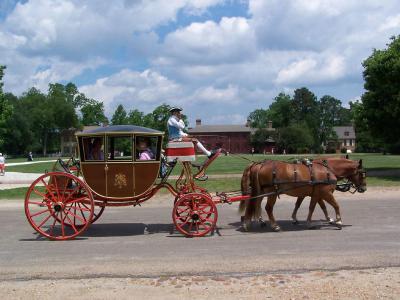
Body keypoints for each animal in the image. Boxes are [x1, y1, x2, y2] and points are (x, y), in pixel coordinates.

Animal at [239, 158, 368, 231]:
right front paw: (339, 221)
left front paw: (309, 222)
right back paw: (274, 225)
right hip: (272, 193)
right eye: (362, 174)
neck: (327, 170)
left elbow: (313, 207)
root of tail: (259, 165)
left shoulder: (315, 194)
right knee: (267, 208)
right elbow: (336, 205)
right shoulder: (325, 192)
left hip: (260, 191)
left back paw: (248, 223)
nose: (364, 188)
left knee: (254, 204)